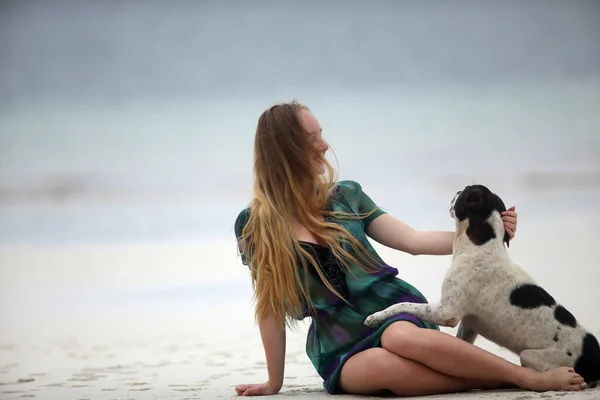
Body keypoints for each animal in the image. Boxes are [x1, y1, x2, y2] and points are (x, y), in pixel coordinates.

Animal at [364, 184, 600, 388]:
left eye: (463, 191)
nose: (456, 191)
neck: (479, 245)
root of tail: (593, 359)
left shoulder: (446, 312)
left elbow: (402, 305)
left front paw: (376, 316)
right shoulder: (469, 324)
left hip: (531, 355)